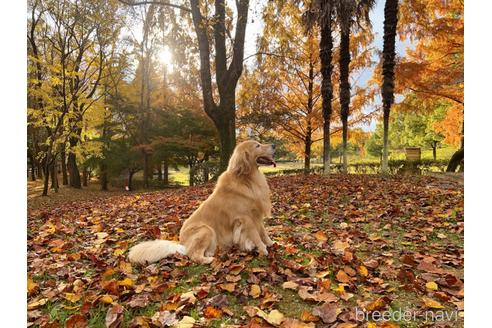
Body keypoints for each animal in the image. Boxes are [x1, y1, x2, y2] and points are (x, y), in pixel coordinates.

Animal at [129, 140, 276, 264]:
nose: (274, 145)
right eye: (257, 146)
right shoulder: (246, 218)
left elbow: (263, 232)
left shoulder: (256, 214)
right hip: (206, 230)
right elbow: (256, 235)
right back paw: (209, 260)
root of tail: (182, 245)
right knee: (194, 255)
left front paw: (271, 243)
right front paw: (263, 250)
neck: (247, 179)